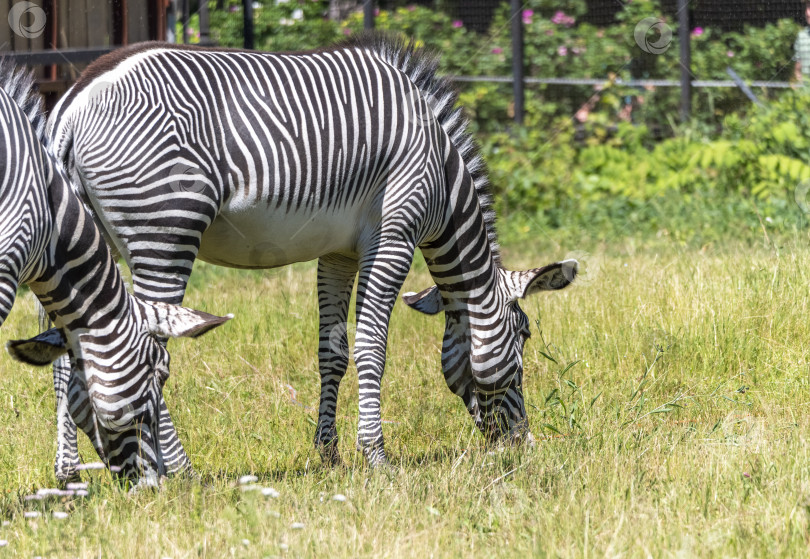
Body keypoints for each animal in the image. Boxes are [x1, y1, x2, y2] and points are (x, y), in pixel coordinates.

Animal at [47, 35, 576, 470]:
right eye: (525, 335)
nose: (522, 445)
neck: (443, 178)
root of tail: (72, 104)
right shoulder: (394, 236)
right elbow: (371, 346)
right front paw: (376, 455)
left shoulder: (338, 253)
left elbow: (332, 352)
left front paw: (329, 454)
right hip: (165, 230)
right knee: (147, 354)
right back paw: (178, 470)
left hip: (77, 241)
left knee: (67, 359)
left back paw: (75, 474)